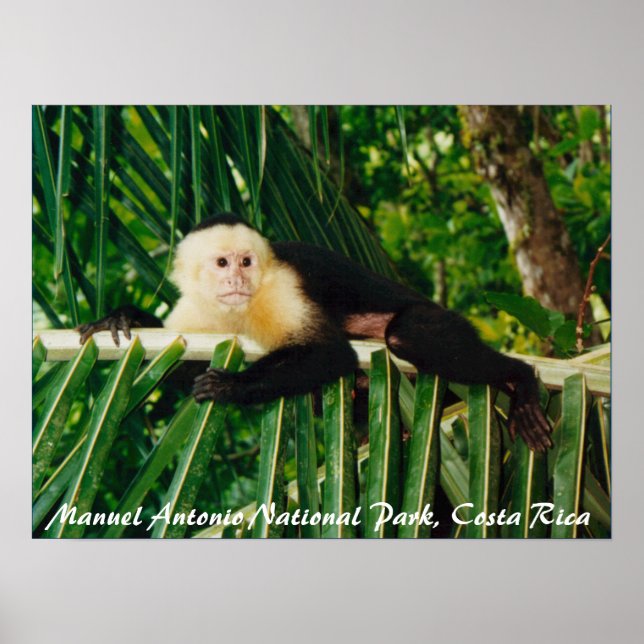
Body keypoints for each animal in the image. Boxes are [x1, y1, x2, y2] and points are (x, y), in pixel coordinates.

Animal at [77, 213, 552, 452]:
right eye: (222, 263)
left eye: (247, 262)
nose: (237, 280)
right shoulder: (194, 309)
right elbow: (173, 359)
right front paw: (122, 318)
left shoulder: (279, 288)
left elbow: (328, 353)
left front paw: (231, 386)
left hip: (439, 317)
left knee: (407, 336)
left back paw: (521, 380)